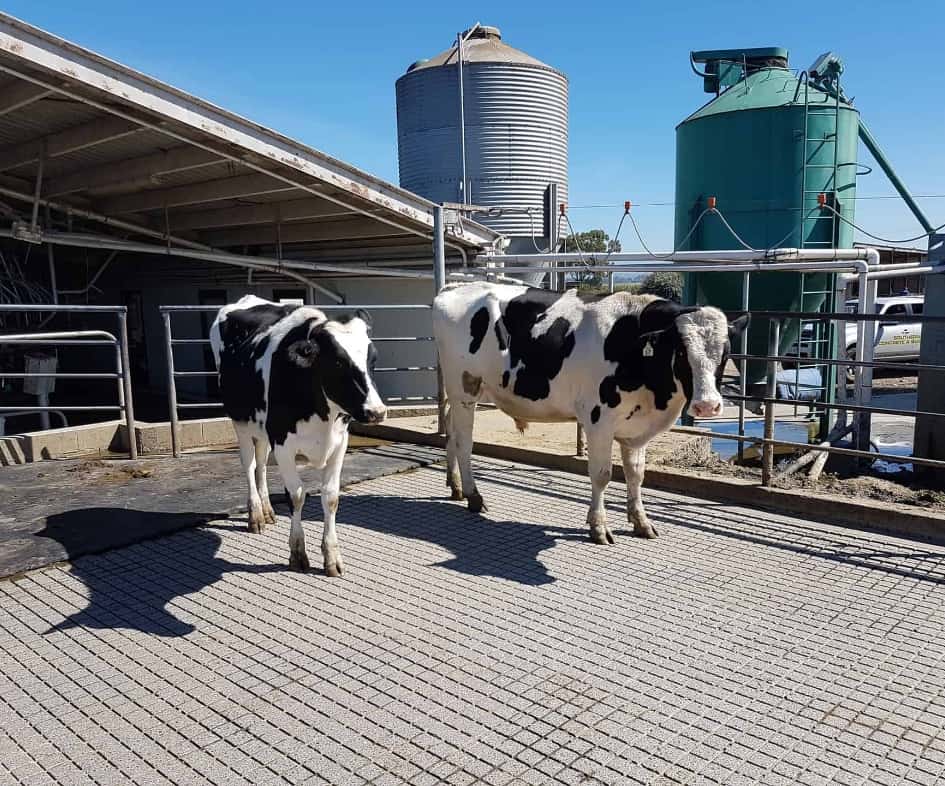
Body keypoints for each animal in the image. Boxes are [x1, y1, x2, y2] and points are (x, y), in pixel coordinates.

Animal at [211, 292, 388, 568]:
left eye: (373, 359)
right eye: (338, 362)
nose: (376, 412)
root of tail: (246, 299)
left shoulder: (340, 442)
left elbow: (331, 496)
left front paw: (332, 556)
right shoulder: (283, 443)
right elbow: (296, 495)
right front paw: (297, 553)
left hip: (262, 428)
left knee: (262, 463)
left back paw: (267, 510)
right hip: (240, 421)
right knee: (249, 464)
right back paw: (255, 515)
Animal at [432, 284, 748, 544]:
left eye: (725, 353)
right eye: (681, 352)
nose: (707, 405)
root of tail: (455, 287)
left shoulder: (637, 429)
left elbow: (636, 474)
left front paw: (641, 521)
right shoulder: (599, 421)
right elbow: (602, 475)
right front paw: (598, 527)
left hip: (459, 393)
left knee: (450, 432)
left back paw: (455, 486)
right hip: (465, 387)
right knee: (464, 442)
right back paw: (473, 495)